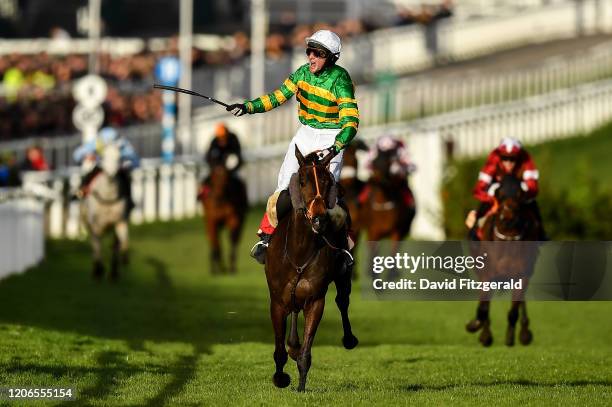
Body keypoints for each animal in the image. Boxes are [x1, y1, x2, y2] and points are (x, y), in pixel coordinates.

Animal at [80, 145, 129, 282]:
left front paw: (124, 259)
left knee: (114, 245)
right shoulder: (96, 225)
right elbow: (98, 245)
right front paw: (98, 269)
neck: (108, 197)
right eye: (103, 156)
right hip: (87, 223)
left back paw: (113, 271)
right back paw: (97, 269)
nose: (112, 174)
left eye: (119, 156)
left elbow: (123, 241)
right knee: (94, 243)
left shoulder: (120, 221)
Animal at [264, 146, 358, 392]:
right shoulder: (276, 301)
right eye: (302, 180)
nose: (319, 219)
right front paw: (280, 377)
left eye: (327, 182)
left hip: (343, 274)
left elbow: (306, 353)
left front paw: (301, 386)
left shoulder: (315, 300)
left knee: (342, 300)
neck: (299, 252)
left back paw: (348, 339)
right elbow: (279, 350)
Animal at [466, 175, 536, 348]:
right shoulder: (487, 275)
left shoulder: (522, 275)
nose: (507, 219)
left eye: (520, 196)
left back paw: (524, 332)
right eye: (499, 195)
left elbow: (514, 310)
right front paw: (477, 328)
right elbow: (483, 309)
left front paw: (511, 338)